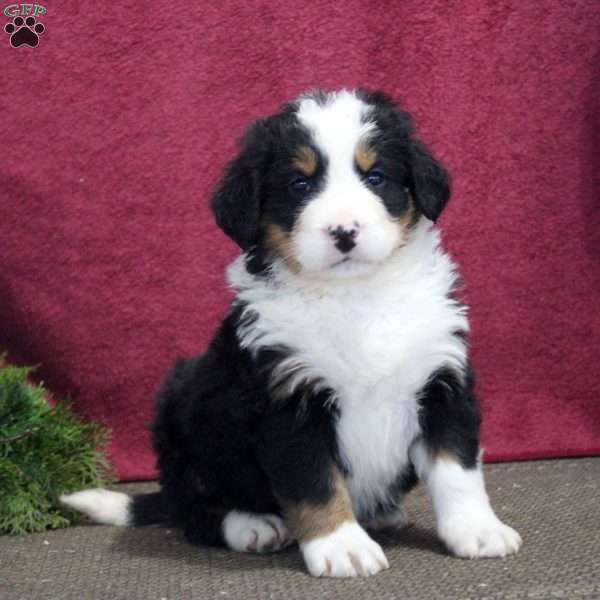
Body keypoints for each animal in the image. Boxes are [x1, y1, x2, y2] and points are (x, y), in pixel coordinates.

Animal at [62, 88, 520, 576]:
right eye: (300, 185)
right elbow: (316, 484)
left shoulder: (442, 380)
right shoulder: (288, 403)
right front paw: (342, 546)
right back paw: (254, 526)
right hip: (183, 418)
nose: (344, 231)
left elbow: (458, 471)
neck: (356, 298)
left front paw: (477, 530)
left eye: (376, 177)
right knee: (195, 511)